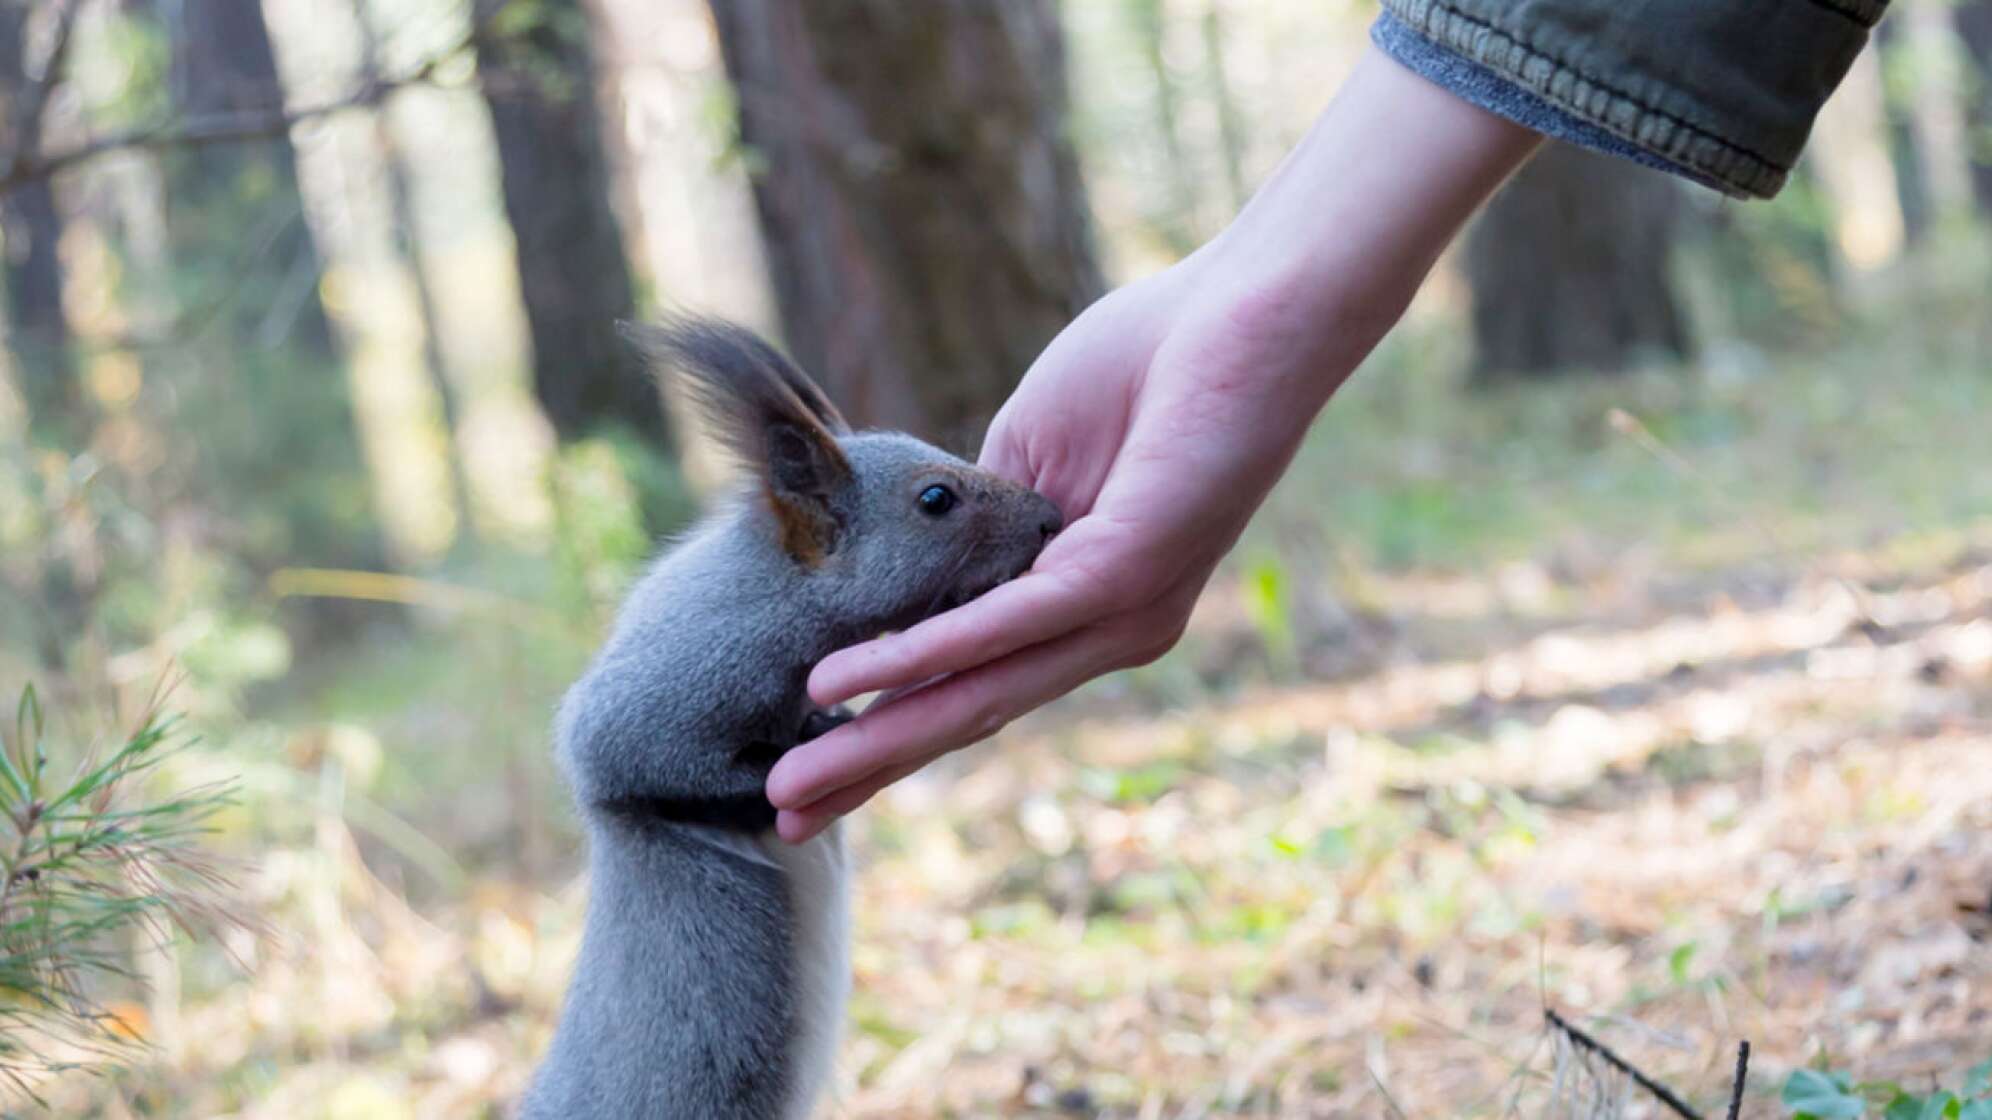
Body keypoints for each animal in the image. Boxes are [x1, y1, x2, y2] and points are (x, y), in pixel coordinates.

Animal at [521, 316, 1067, 1116]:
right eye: (936, 499)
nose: (1050, 517)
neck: (782, 593)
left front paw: (818, 722)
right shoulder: (683, 682)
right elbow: (634, 762)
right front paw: (777, 773)